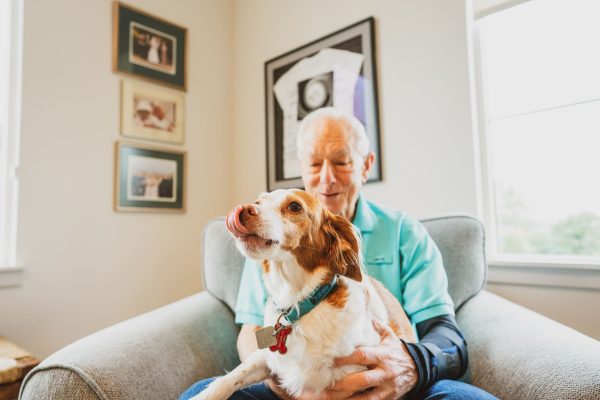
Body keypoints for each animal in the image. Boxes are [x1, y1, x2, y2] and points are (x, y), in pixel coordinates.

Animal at [195, 190, 414, 400]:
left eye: (294, 206)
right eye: (259, 203)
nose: (242, 209)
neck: (299, 303)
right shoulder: (268, 357)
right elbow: (232, 376)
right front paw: (204, 395)